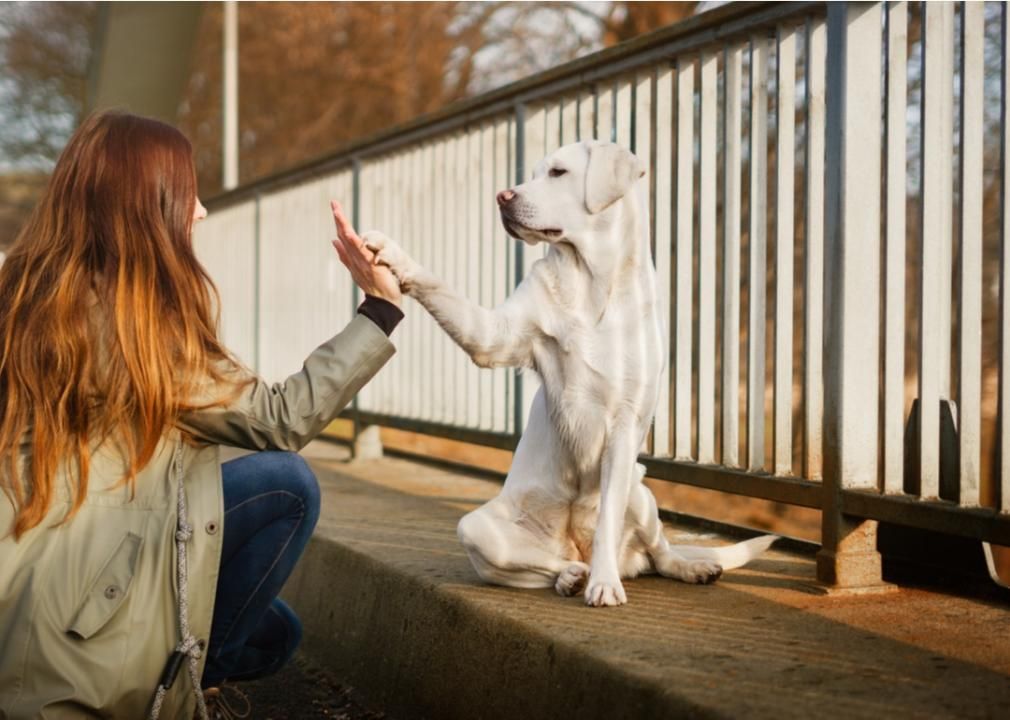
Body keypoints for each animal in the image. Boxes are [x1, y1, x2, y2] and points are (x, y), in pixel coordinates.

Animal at [363, 141, 771, 605]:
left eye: (558, 173)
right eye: (533, 174)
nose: (503, 196)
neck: (590, 284)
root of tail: (576, 544)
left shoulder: (625, 423)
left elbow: (611, 517)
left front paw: (605, 585)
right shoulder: (494, 335)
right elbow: (440, 286)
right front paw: (389, 253)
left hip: (640, 489)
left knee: (660, 552)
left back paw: (683, 567)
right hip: (477, 529)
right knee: (546, 564)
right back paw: (572, 575)